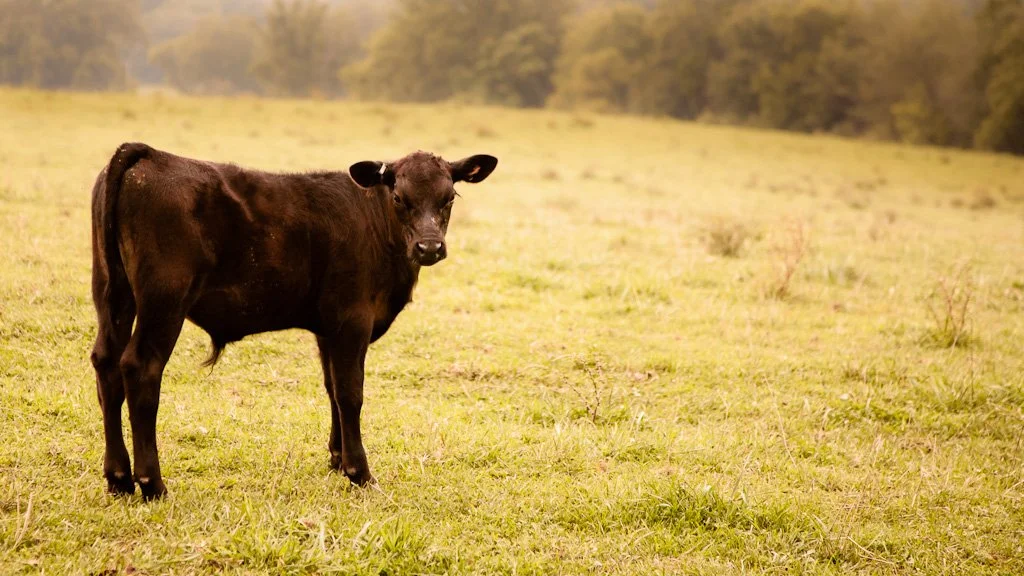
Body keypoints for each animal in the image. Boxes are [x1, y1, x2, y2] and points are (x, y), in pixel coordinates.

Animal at [89, 143, 498, 499]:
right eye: (399, 198)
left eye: (449, 198)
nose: (429, 247)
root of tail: (150, 154)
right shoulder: (353, 319)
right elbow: (350, 392)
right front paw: (359, 472)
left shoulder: (328, 328)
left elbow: (332, 388)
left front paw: (338, 459)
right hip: (164, 301)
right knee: (140, 369)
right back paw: (152, 483)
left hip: (113, 295)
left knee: (106, 365)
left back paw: (118, 478)